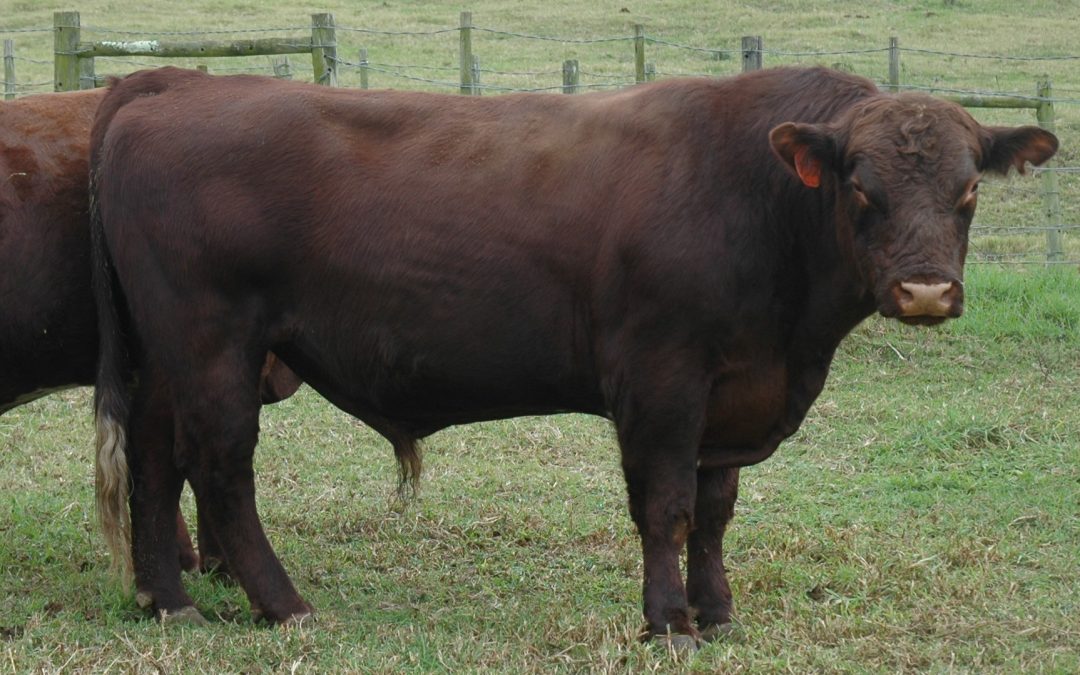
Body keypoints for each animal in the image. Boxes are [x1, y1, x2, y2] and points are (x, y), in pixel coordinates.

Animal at [89, 66, 1056, 646]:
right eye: (861, 186)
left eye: (969, 190)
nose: (925, 292)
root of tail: (177, 84)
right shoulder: (663, 380)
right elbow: (665, 506)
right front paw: (668, 621)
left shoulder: (730, 391)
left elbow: (714, 512)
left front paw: (717, 612)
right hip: (212, 343)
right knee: (221, 469)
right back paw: (284, 604)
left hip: (167, 358)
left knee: (155, 462)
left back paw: (168, 597)